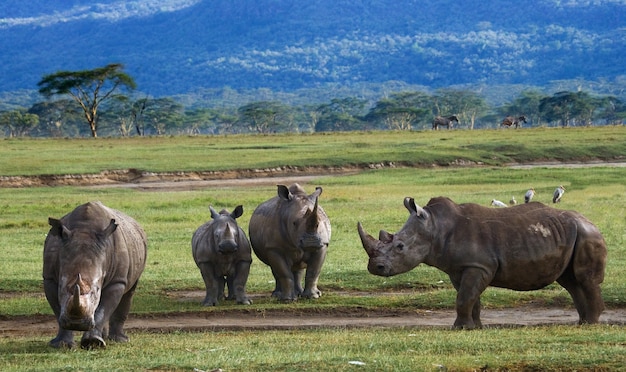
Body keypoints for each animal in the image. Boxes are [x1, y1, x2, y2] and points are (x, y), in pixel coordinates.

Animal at [43, 202, 147, 348]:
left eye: (96, 291)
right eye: (62, 289)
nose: (77, 324)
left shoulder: (117, 281)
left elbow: (103, 309)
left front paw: (93, 343)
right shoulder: (49, 278)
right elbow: (58, 310)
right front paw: (62, 345)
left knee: (129, 292)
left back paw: (119, 340)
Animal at [358, 198, 608, 328]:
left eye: (400, 247)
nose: (375, 268)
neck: (435, 227)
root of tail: (592, 222)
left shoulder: (479, 266)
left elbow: (465, 297)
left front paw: (459, 328)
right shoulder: (462, 268)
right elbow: (470, 298)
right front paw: (473, 328)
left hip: (587, 234)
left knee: (584, 279)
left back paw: (591, 324)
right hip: (572, 235)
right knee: (570, 281)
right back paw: (583, 323)